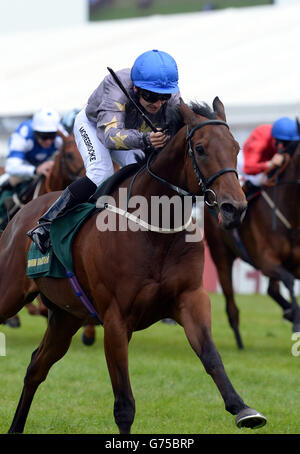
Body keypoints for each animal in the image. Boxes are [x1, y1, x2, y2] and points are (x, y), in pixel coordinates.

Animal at [0, 98, 268, 432]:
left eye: (236, 148)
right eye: (201, 148)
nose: (235, 207)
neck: (155, 229)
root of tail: (21, 216)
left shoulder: (190, 298)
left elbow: (211, 356)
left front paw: (242, 408)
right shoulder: (116, 320)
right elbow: (124, 404)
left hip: (66, 316)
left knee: (36, 367)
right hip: (10, 293)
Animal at [205, 144, 300, 350]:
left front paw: (292, 313)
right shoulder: (265, 261)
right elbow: (289, 280)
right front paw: (296, 322)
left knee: (272, 290)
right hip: (221, 256)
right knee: (231, 304)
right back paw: (239, 342)